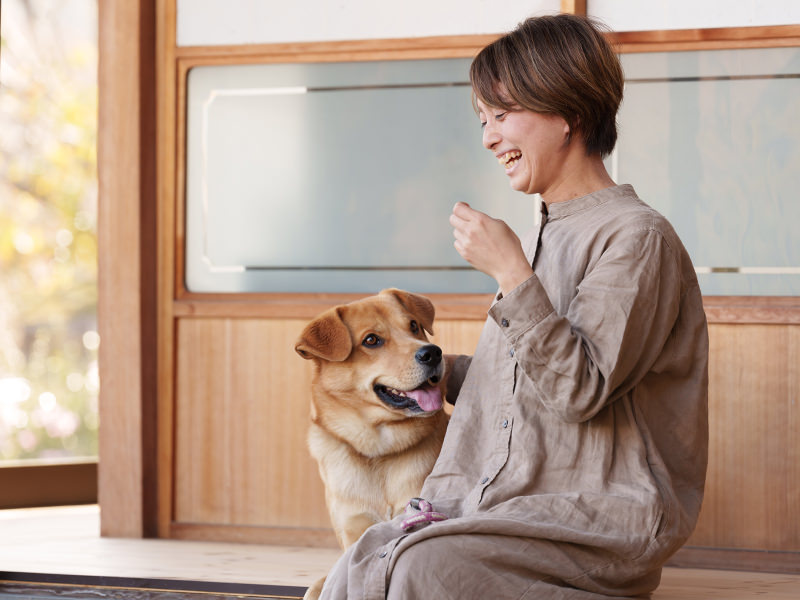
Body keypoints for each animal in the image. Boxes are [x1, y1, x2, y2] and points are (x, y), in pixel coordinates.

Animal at [296, 288, 454, 596]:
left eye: (414, 326)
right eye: (371, 340)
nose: (432, 352)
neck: (380, 450)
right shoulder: (354, 534)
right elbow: (320, 586)